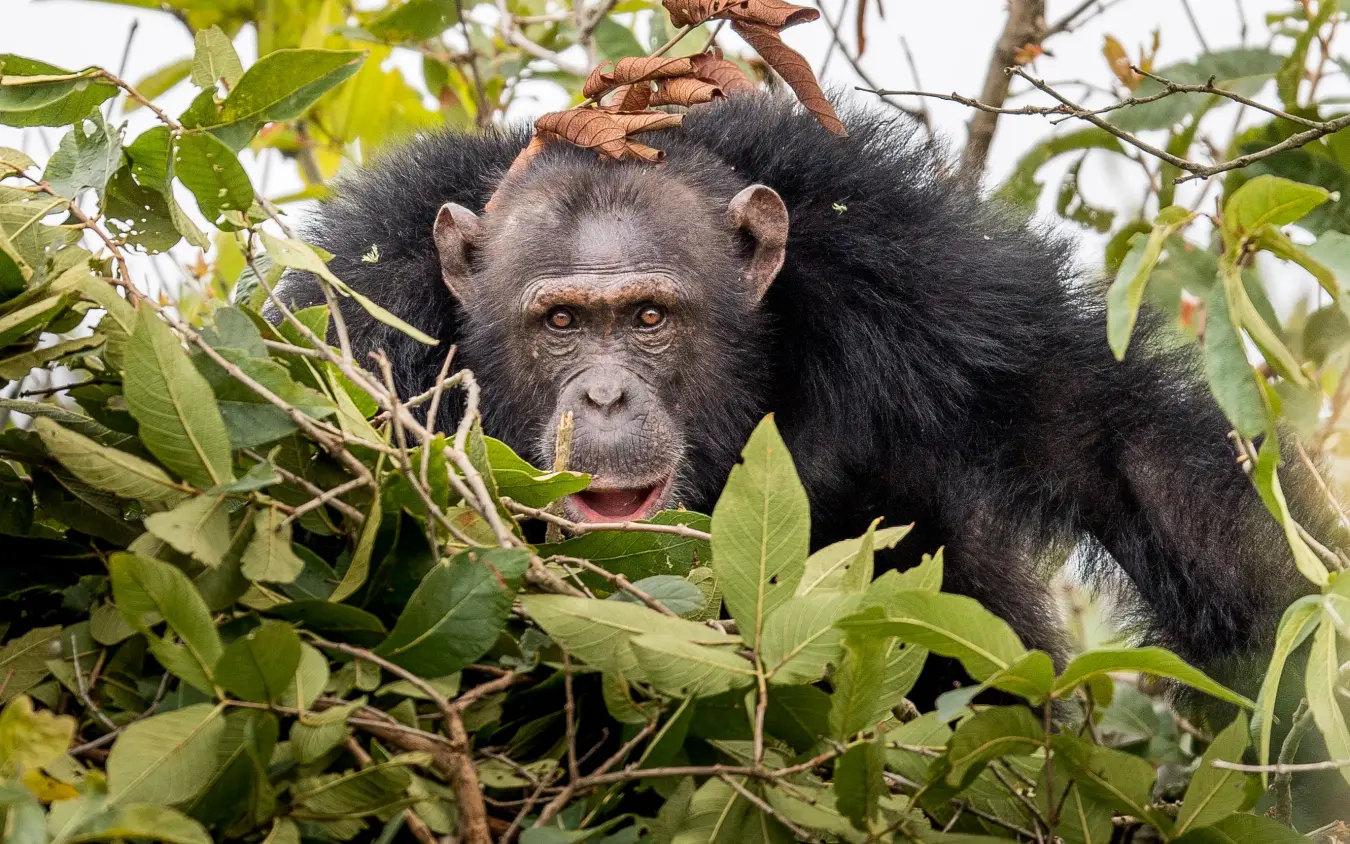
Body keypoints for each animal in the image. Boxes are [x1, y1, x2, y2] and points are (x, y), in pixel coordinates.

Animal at [271, 92, 1345, 719]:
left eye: (649, 316)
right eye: (562, 322)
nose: (605, 392)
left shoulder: (921, 279)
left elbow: (1113, 445)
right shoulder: (355, 323)